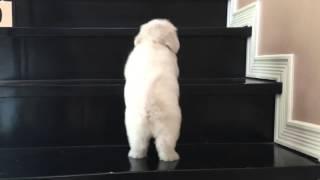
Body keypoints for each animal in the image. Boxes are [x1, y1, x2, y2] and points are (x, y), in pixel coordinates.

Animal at [124, 19, 181, 161]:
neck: (153, 42)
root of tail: (149, 105)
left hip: (135, 126)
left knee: (138, 144)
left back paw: (135, 155)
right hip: (170, 125)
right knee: (165, 144)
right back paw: (172, 157)